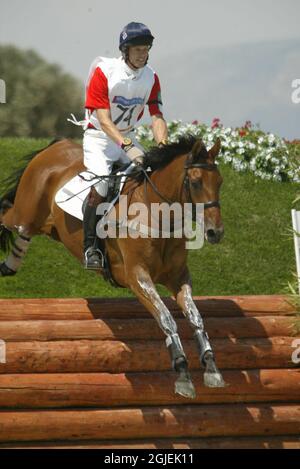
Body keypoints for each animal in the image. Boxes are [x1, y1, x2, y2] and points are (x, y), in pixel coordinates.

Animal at [0, 133, 224, 396]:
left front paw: (211, 367)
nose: (215, 232)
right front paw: (182, 373)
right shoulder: (137, 277)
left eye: (219, 182)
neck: (157, 214)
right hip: (25, 212)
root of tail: (55, 146)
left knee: (22, 228)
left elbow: (195, 317)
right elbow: (166, 318)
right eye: (196, 182)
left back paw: (11, 264)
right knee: (7, 214)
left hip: (49, 226)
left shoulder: (178, 277)